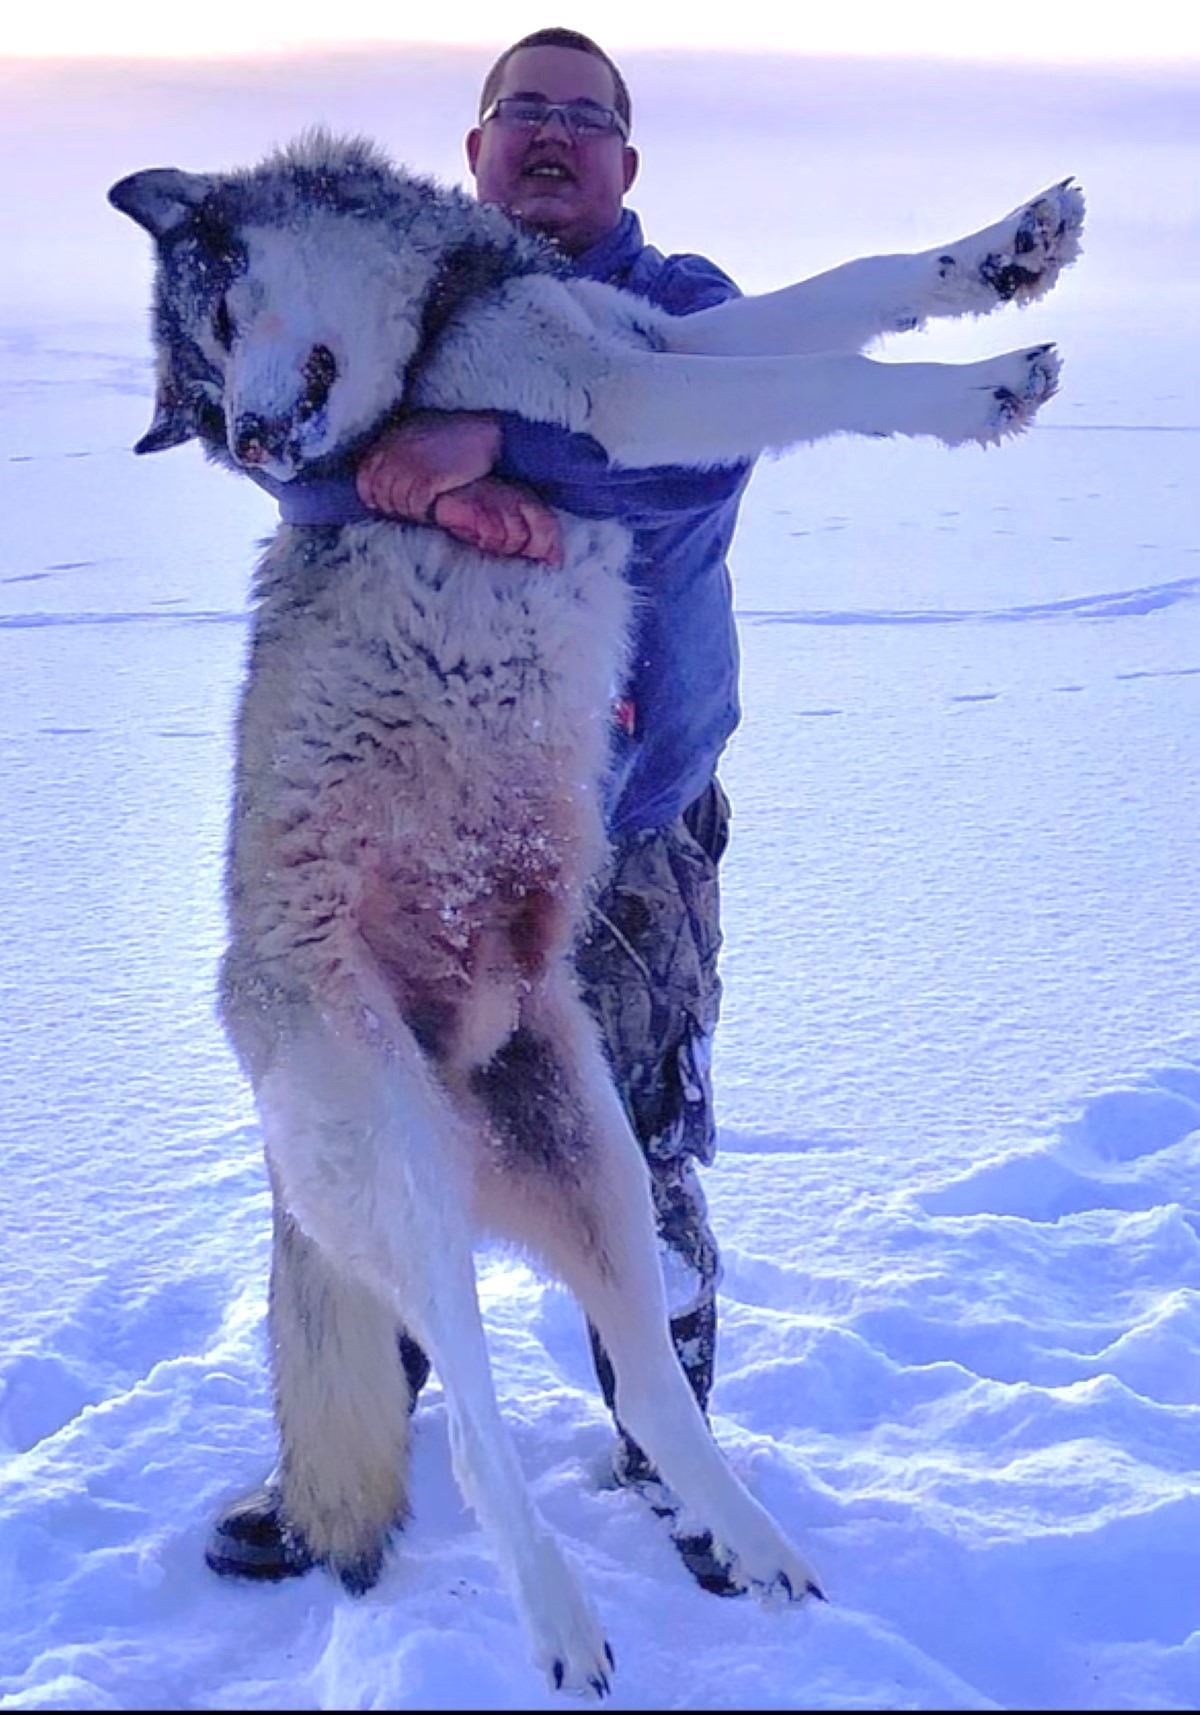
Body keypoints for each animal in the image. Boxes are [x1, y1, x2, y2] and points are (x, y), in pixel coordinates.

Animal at [109, 133, 1083, 1696]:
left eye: (211, 322)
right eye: (199, 406)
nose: (262, 449)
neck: (445, 317)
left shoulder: (658, 337)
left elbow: (850, 288)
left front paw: (1009, 252)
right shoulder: (628, 401)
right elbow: (827, 376)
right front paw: (985, 388)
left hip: (609, 1172)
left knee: (659, 1389)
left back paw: (758, 1547)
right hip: (408, 1187)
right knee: (465, 1424)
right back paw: (565, 1623)